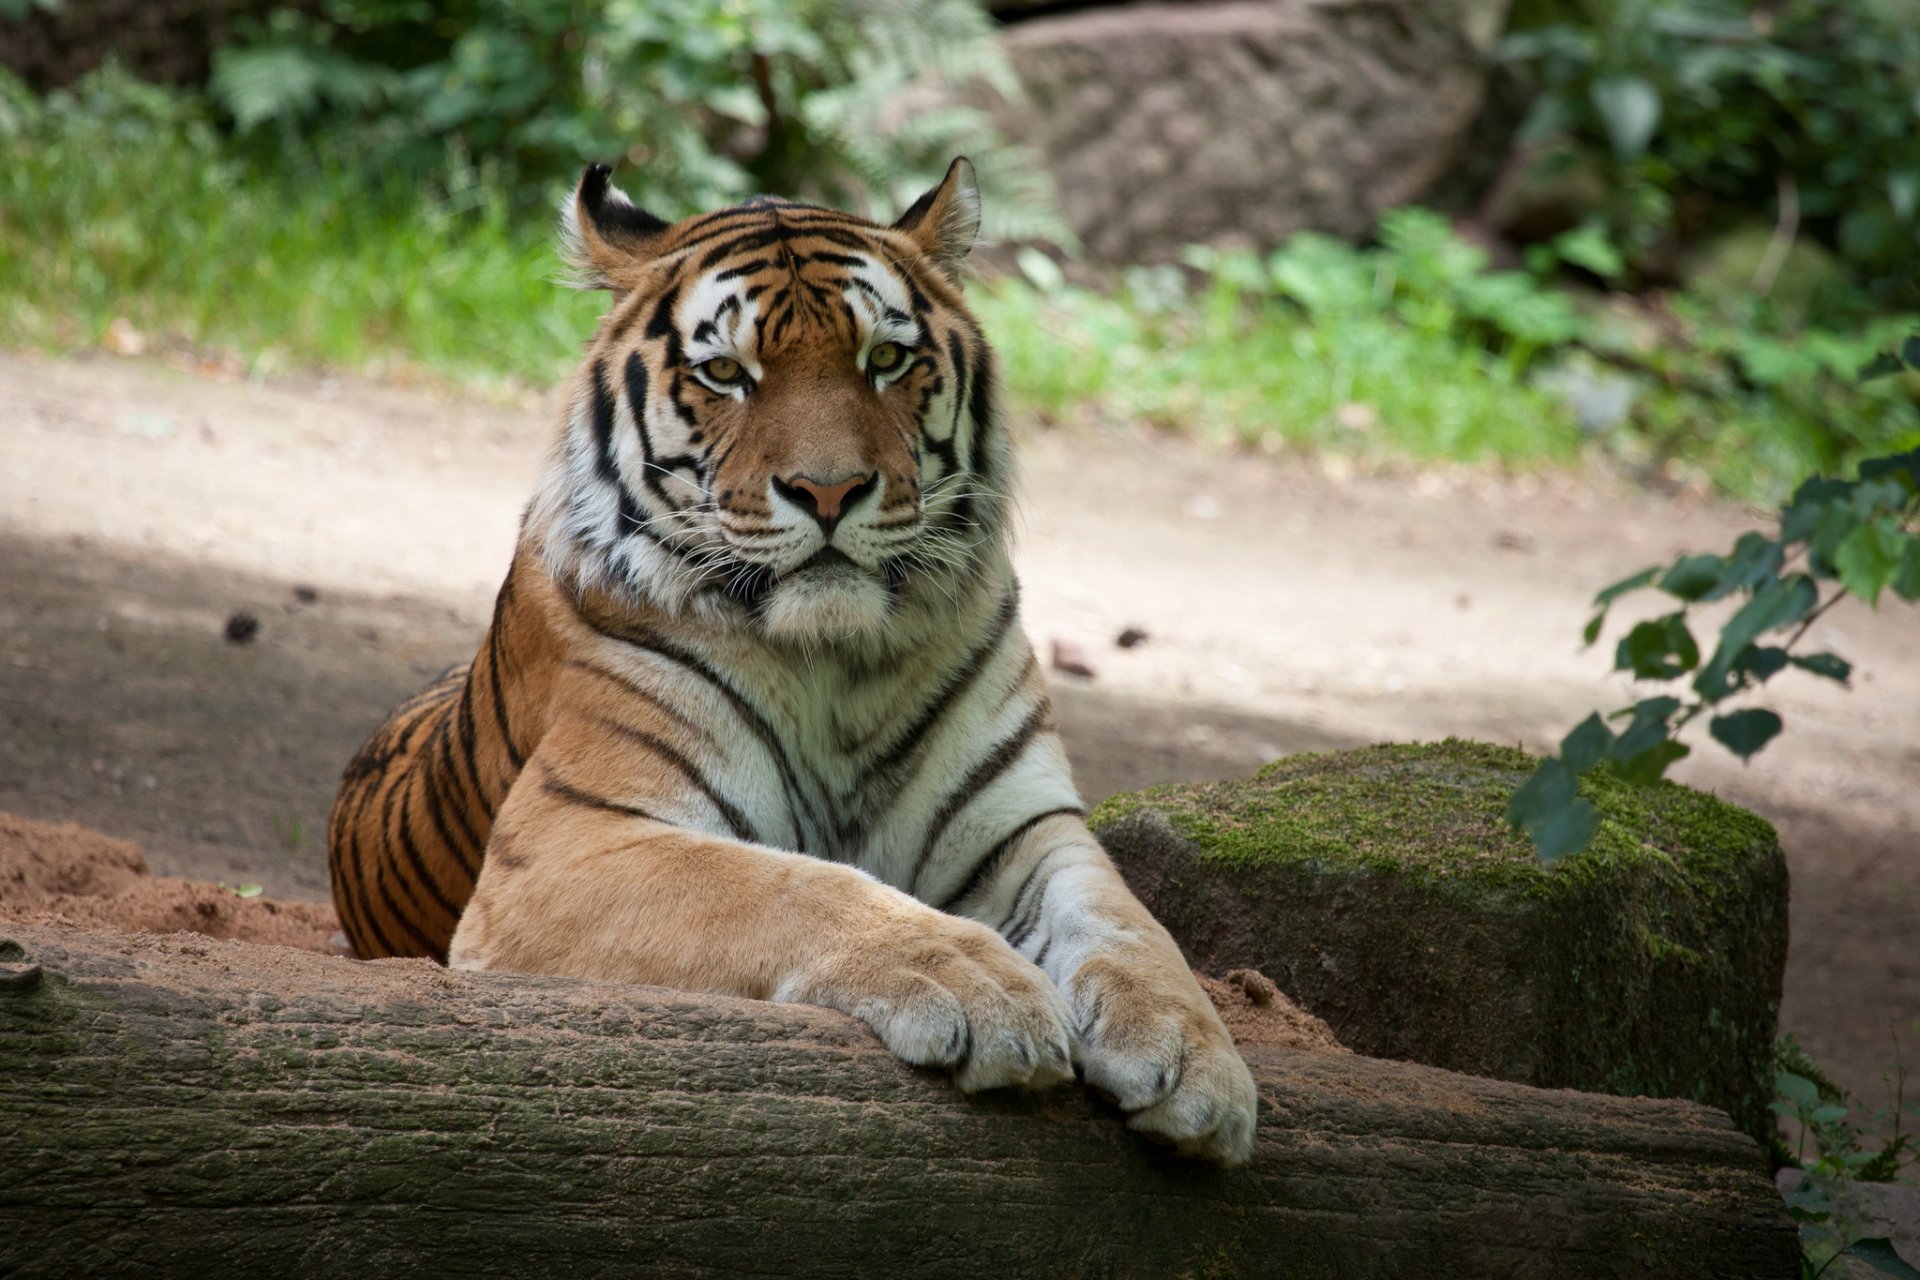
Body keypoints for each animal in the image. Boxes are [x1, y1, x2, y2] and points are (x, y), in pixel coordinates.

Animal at [326, 157, 1258, 1164]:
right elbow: (790, 887)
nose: (830, 490)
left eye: (884, 359)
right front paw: (980, 983)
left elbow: (1129, 927)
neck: (837, 663)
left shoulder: (1027, 830)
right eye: (726, 373)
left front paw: (1195, 1060)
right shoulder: (571, 845)